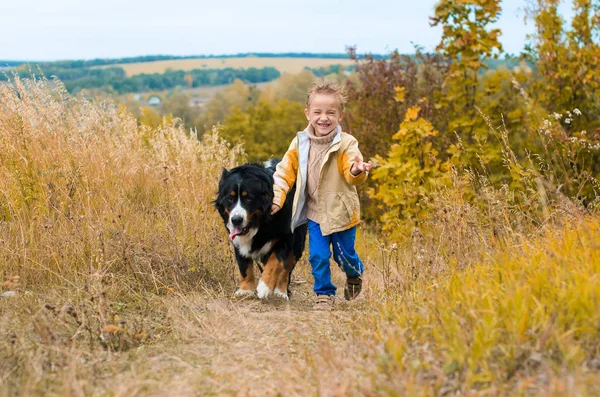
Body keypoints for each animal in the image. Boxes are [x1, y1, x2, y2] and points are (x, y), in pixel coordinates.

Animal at [214, 159, 308, 298]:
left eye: (248, 198)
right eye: (230, 198)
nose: (236, 220)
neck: (260, 223)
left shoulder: (285, 237)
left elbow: (275, 262)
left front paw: (264, 287)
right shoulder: (237, 240)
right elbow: (244, 266)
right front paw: (245, 289)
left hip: (298, 241)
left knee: (287, 268)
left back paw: (281, 292)